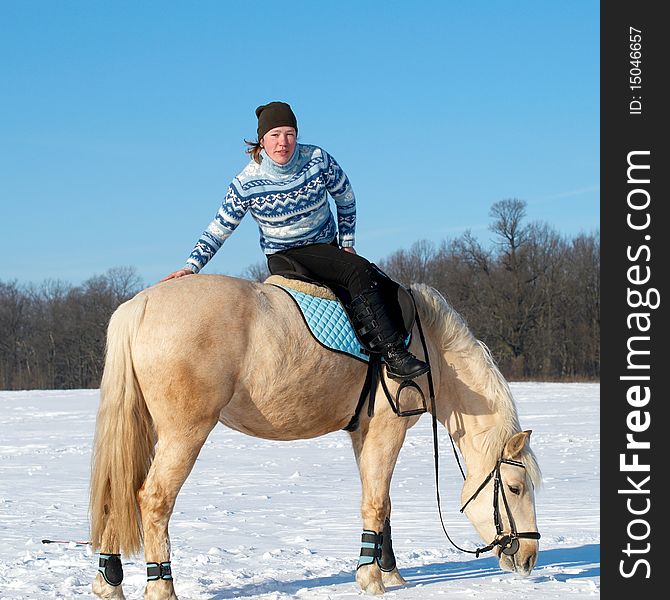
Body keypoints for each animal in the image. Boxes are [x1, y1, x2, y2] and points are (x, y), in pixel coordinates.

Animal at [89, 274, 544, 596]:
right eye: (516, 488)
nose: (528, 558)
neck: (427, 346)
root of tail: (139, 304)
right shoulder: (388, 428)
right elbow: (377, 503)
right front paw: (371, 579)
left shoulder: (364, 433)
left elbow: (383, 504)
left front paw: (390, 572)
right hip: (185, 433)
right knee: (153, 500)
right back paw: (161, 587)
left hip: (145, 427)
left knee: (118, 489)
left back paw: (108, 583)